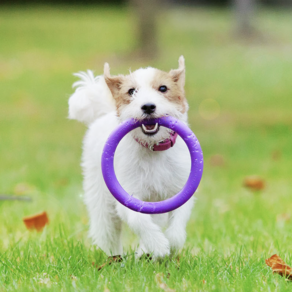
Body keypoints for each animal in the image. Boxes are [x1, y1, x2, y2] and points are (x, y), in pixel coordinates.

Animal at [68, 56, 195, 258]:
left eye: (163, 88)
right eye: (131, 91)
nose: (148, 106)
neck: (153, 149)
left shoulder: (180, 190)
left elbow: (177, 226)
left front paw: (169, 245)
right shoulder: (129, 195)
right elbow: (139, 220)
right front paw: (158, 246)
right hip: (102, 203)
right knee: (108, 233)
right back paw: (115, 258)